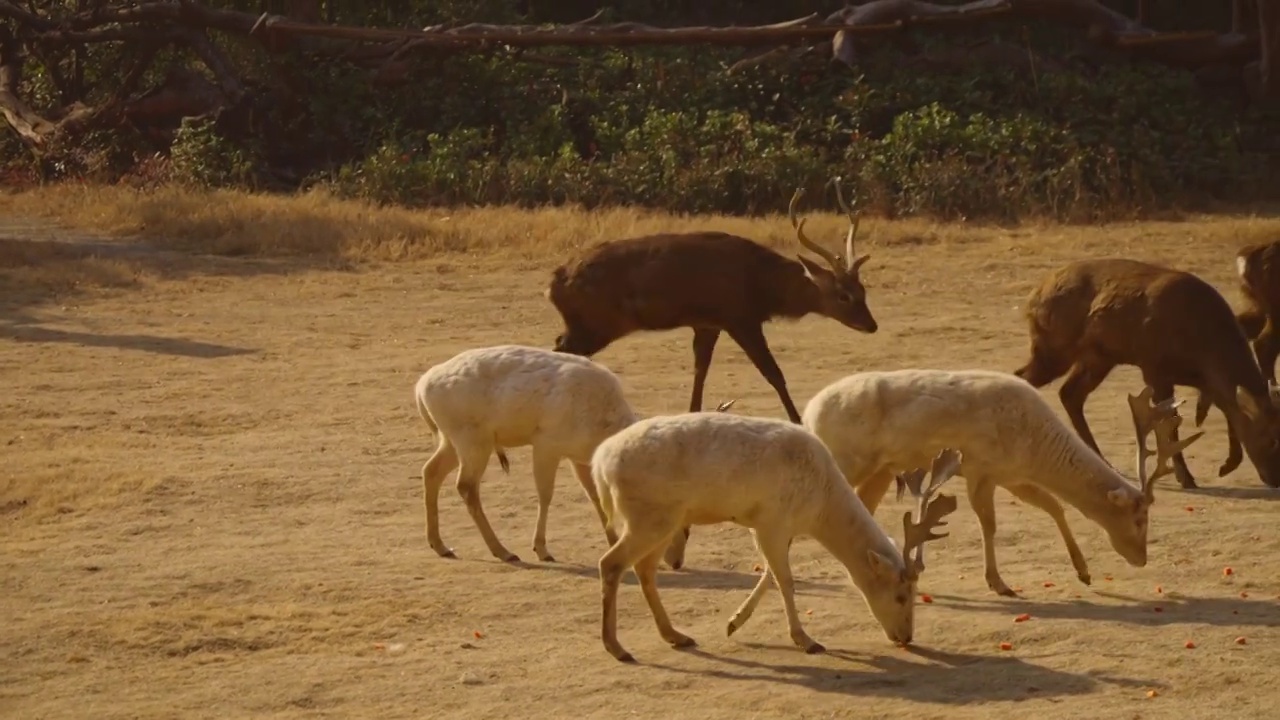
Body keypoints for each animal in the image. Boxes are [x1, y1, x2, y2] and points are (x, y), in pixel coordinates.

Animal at [412, 340, 732, 561]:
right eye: (683, 527)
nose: (676, 562)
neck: (601, 421)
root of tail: (422, 385)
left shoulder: (580, 458)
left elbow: (596, 497)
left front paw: (611, 540)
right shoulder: (546, 445)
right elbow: (545, 494)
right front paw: (542, 549)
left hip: (452, 439)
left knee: (430, 471)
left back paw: (441, 545)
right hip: (473, 439)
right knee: (466, 486)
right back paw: (503, 551)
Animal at [545, 179, 875, 422]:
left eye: (863, 290)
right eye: (843, 295)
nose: (872, 325)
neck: (761, 286)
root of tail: (554, 283)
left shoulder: (708, 324)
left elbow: (700, 371)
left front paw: (692, 414)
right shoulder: (739, 317)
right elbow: (774, 374)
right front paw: (798, 421)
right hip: (596, 323)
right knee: (561, 350)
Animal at [588, 409, 962, 661]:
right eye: (900, 595)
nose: (907, 636)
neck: (819, 507)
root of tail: (599, 464)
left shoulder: (771, 526)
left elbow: (770, 573)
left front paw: (733, 623)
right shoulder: (772, 521)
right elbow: (786, 579)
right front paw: (807, 640)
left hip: (665, 521)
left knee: (644, 569)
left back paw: (676, 635)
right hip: (648, 517)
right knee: (610, 563)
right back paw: (617, 648)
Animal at [798, 368, 1198, 594]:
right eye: (1140, 518)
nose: (1141, 559)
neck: (1035, 446)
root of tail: (809, 412)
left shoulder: (1012, 475)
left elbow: (1053, 505)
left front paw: (1084, 572)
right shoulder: (980, 467)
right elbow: (988, 523)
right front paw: (999, 583)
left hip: (880, 470)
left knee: (862, 508)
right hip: (848, 460)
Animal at [1013, 256, 1280, 486]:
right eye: (1269, 439)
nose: (1274, 479)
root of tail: (1034, 295)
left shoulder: (1207, 383)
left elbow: (1228, 412)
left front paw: (1227, 465)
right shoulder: (1154, 367)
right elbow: (1171, 425)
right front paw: (1186, 478)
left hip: (1098, 357)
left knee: (1069, 393)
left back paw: (1104, 462)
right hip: (1053, 348)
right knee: (1023, 378)